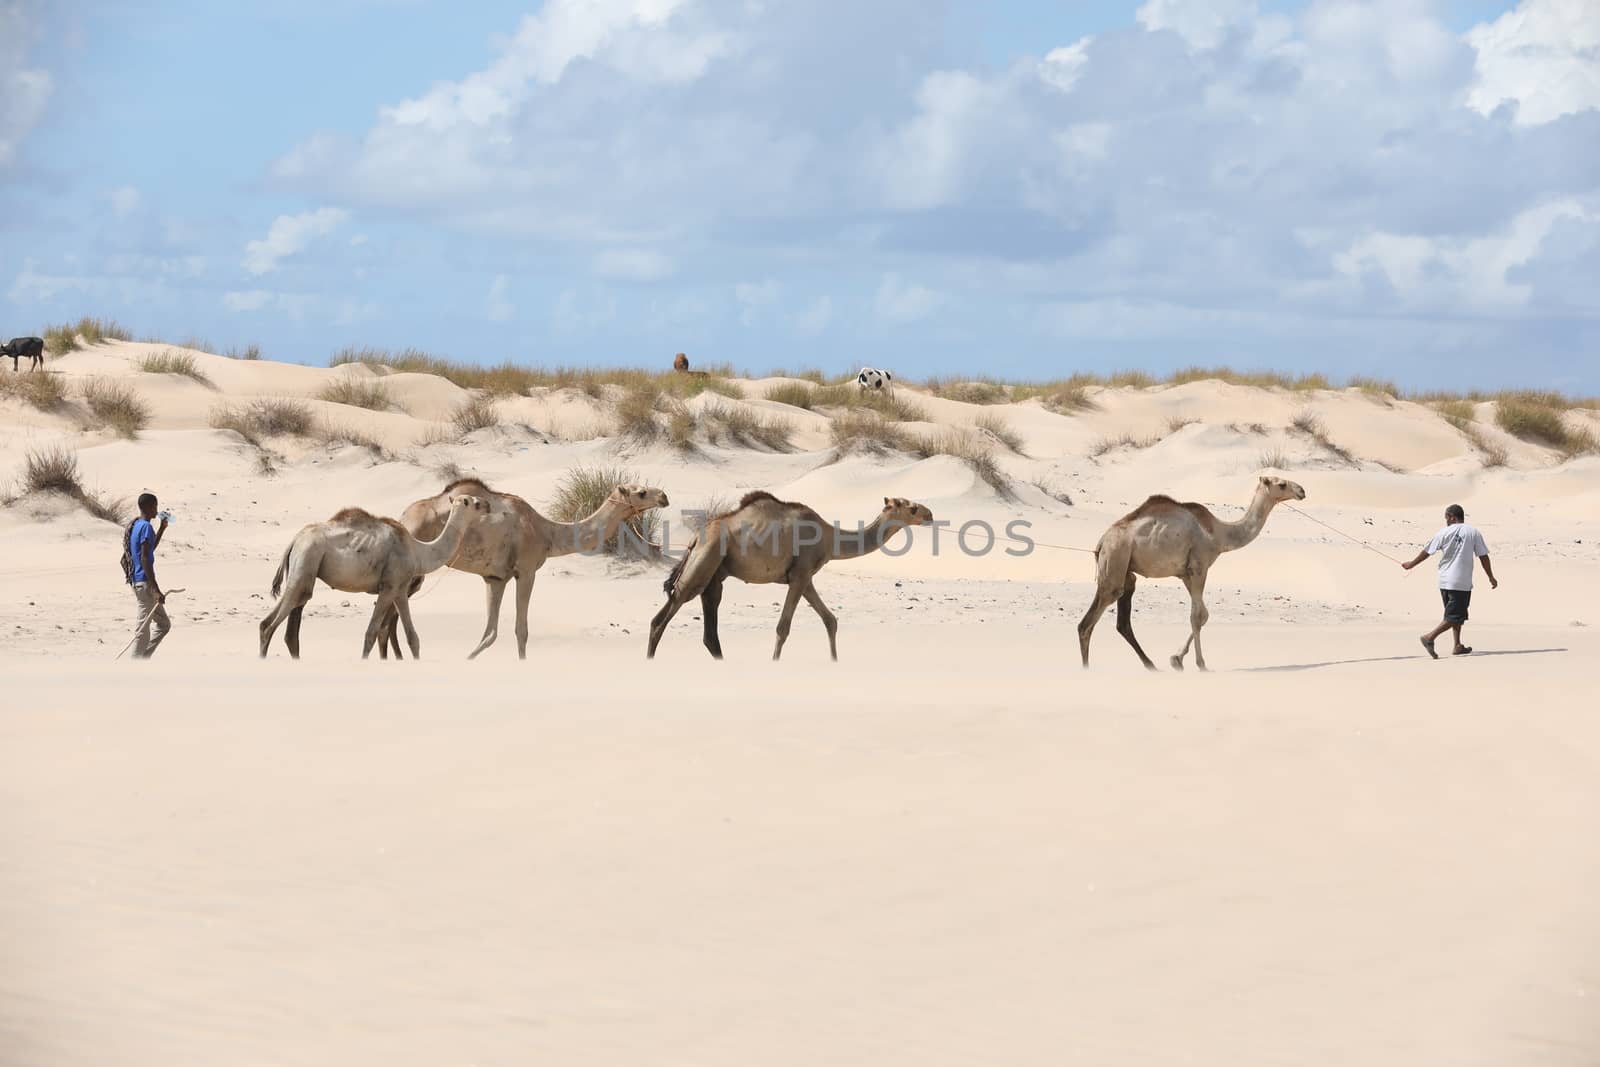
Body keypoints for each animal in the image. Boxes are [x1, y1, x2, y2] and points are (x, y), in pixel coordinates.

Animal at [257, 492, 486, 659]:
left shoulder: (400, 590)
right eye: (475, 503)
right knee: (271, 623)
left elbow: (412, 637)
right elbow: (372, 632)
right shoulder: (388, 587)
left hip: (302, 569)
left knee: (285, 624)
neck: (417, 551)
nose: (488, 505)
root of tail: (295, 540)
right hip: (307, 559)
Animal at [377, 476, 672, 659]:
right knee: (388, 617)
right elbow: (521, 631)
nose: (664, 496)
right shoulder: (527, 571)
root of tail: (403, 518)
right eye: (641, 492)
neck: (548, 533)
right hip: (411, 572)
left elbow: (490, 632)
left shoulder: (495, 578)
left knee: (388, 618)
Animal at [643, 492, 934, 659]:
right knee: (663, 617)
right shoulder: (801, 574)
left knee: (709, 632)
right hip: (704, 562)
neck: (829, 538)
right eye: (911, 508)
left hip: (715, 573)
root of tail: (694, 538)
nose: (930, 513)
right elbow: (783, 628)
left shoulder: (804, 577)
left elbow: (830, 620)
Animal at [1081, 479, 1305, 671]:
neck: (1219, 534)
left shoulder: (1186, 573)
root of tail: (1102, 542)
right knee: (1089, 621)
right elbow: (1196, 617)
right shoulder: (1200, 566)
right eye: (1281, 484)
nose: (1302, 490)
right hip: (1116, 558)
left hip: (1126, 570)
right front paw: (1200, 664)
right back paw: (1088, 669)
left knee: (1121, 621)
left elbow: (1203, 615)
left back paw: (1148, 665)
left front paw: (1176, 659)